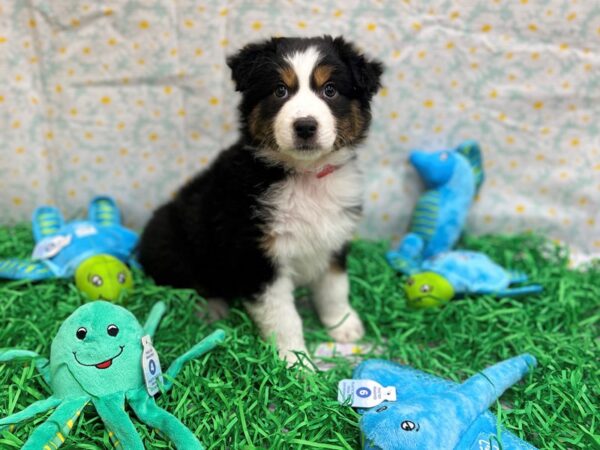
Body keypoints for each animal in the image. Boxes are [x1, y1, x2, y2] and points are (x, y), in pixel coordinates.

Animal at [138, 36, 382, 366]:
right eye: (280, 90)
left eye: (330, 90)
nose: (305, 126)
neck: (304, 176)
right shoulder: (257, 256)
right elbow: (284, 318)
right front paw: (296, 363)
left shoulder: (333, 238)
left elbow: (334, 288)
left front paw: (343, 325)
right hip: (171, 241)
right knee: (187, 281)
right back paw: (211, 308)